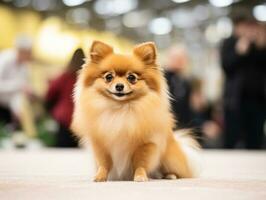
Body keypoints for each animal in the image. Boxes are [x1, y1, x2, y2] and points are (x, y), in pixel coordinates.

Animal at [71, 40, 201, 181]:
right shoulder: (101, 144)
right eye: (109, 77)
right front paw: (100, 176)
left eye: (131, 78)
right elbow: (104, 163)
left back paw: (170, 175)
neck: (120, 109)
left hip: (169, 158)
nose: (119, 86)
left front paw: (140, 176)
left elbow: (140, 163)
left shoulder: (145, 144)